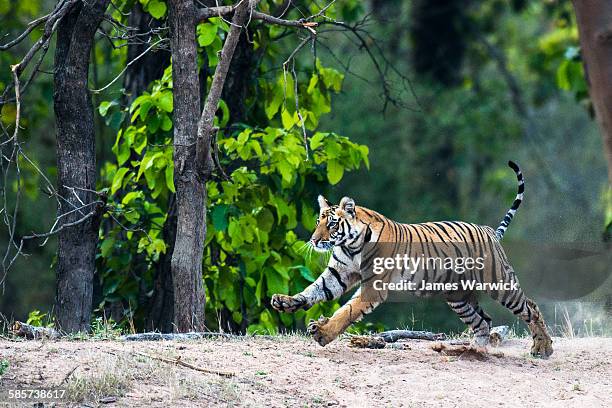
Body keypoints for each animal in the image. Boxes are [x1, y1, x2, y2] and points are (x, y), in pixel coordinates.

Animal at [272, 159, 556, 356]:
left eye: (331, 224)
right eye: (317, 222)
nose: (314, 240)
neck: (350, 245)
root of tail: (489, 231)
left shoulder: (373, 286)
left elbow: (347, 311)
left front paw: (322, 332)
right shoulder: (338, 274)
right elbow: (312, 291)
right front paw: (284, 301)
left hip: (498, 283)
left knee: (530, 307)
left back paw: (542, 348)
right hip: (458, 296)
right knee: (483, 321)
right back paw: (475, 350)